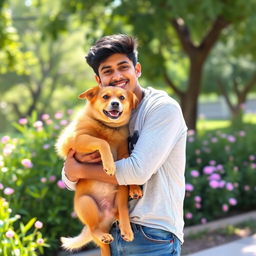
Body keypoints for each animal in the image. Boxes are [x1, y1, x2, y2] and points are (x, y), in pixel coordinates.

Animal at [55, 86, 142, 256]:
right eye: (106, 96)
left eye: (122, 97)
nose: (115, 103)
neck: (109, 127)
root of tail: (107, 219)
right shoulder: (78, 139)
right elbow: (101, 142)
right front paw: (109, 165)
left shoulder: (125, 155)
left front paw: (135, 188)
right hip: (86, 202)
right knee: (94, 230)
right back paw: (102, 235)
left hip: (120, 195)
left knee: (122, 212)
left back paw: (125, 229)